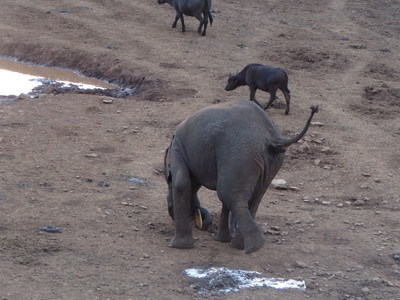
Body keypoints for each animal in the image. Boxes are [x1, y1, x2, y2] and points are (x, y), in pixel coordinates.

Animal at [163, 99, 318, 252]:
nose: (199, 217)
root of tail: (273, 137)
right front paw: (221, 240)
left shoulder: (177, 149)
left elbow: (181, 184)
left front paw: (177, 246)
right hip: (269, 160)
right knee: (250, 199)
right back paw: (241, 245)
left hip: (240, 154)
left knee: (227, 194)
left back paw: (254, 246)